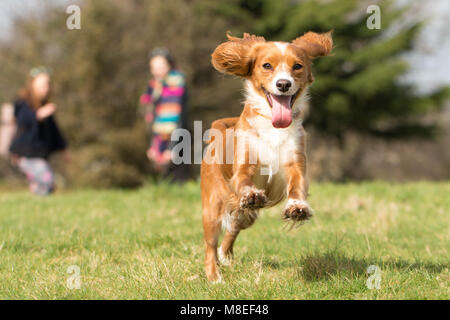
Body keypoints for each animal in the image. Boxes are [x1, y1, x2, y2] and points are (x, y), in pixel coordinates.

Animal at [202, 30, 332, 282]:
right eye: (267, 65)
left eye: (297, 66)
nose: (283, 84)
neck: (274, 126)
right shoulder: (245, 162)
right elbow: (244, 180)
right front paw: (252, 194)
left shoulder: (296, 161)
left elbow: (297, 186)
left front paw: (297, 207)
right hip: (213, 205)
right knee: (210, 244)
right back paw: (214, 277)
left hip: (246, 216)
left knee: (233, 228)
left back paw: (226, 256)